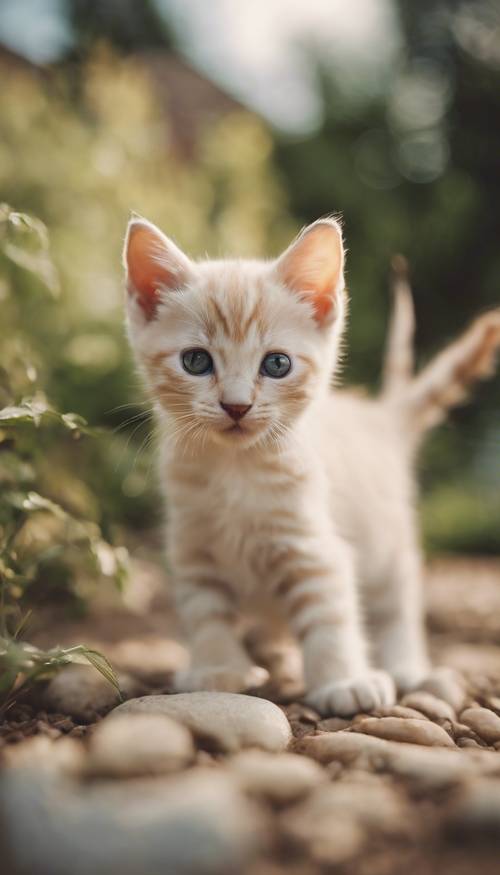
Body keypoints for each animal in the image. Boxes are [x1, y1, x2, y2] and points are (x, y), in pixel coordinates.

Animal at [124, 216, 500, 716]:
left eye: (277, 364)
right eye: (196, 361)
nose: (236, 406)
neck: (235, 469)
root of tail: (380, 416)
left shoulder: (314, 546)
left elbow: (330, 614)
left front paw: (343, 680)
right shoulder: (193, 548)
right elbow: (206, 613)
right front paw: (217, 669)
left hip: (387, 545)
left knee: (395, 605)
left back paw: (405, 665)